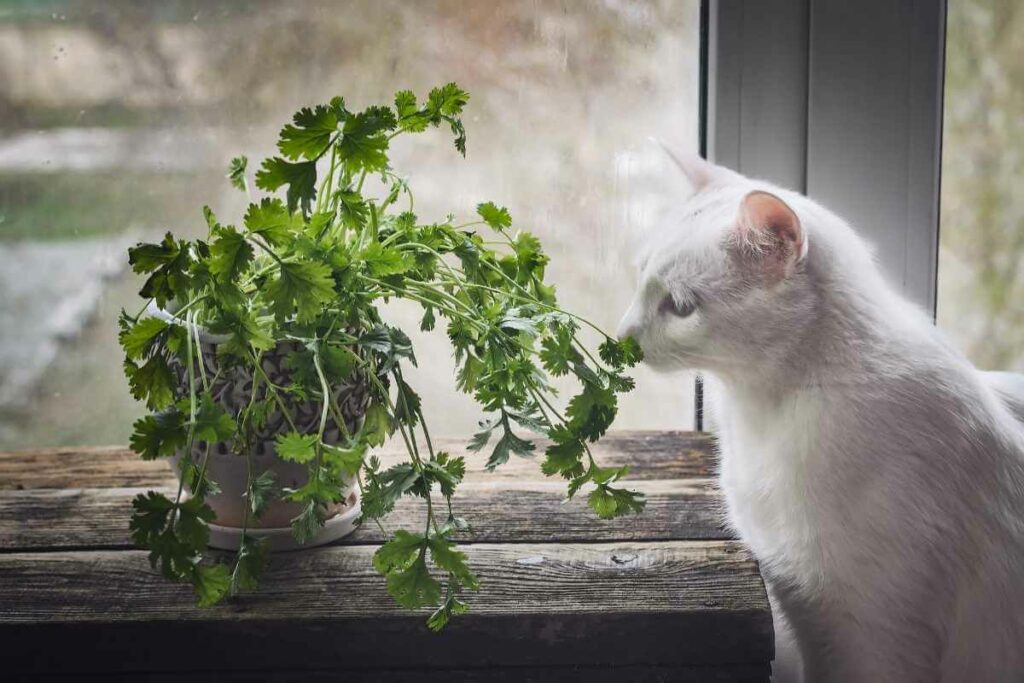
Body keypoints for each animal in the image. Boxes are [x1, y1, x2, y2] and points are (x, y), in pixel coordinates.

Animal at [614, 152, 1024, 679]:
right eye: (640, 277)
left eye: (681, 307)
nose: (622, 335)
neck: (759, 417)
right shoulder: (798, 600)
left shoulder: (871, 639)